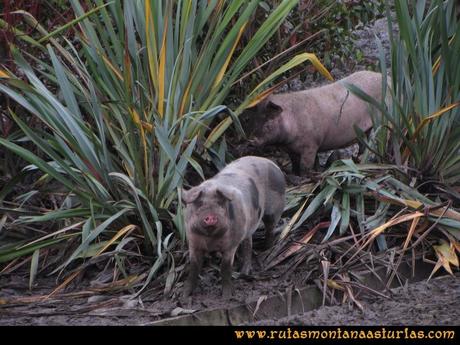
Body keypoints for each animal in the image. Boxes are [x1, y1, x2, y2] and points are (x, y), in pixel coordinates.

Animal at [182, 155, 284, 296]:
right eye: (200, 203)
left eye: (220, 203)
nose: (211, 216)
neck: (210, 239)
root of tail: (273, 164)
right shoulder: (192, 241)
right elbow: (194, 267)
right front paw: (184, 295)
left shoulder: (231, 244)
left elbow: (225, 268)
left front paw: (227, 296)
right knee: (248, 244)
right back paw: (244, 271)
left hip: (273, 210)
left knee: (270, 229)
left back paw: (265, 251)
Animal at [243, 70, 390, 175]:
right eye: (253, 120)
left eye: (268, 124)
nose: (251, 141)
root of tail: (386, 77)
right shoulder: (291, 150)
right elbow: (295, 164)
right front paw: (295, 173)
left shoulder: (311, 145)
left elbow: (305, 167)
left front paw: (305, 176)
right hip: (364, 130)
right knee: (363, 142)